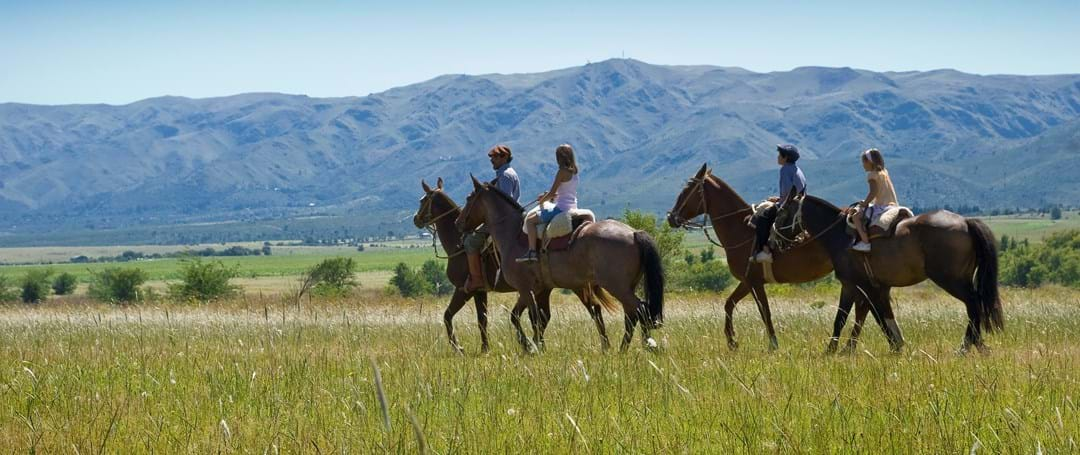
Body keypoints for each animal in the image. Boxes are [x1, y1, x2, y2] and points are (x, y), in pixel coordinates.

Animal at [451, 175, 660, 350]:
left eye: (469, 198)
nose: (457, 223)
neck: (513, 234)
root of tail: (634, 233)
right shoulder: (538, 289)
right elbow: (526, 317)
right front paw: (535, 345)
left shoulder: (525, 288)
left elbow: (530, 317)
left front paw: (530, 346)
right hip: (623, 287)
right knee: (631, 314)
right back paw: (625, 348)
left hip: (617, 286)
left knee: (639, 309)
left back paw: (643, 346)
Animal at [665, 165, 833, 350]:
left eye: (687, 190)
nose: (671, 217)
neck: (740, 228)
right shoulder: (746, 281)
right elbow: (729, 304)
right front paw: (731, 341)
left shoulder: (754, 282)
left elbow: (765, 311)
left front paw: (773, 344)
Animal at [786, 194, 1002, 350]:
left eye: (781, 212)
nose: (782, 240)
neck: (840, 237)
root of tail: (965, 222)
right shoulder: (875, 288)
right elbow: (876, 316)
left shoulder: (855, 285)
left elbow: (853, 318)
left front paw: (832, 350)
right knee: (976, 305)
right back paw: (976, 344)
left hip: (950, 279)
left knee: (973, 303)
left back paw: (966, 346)